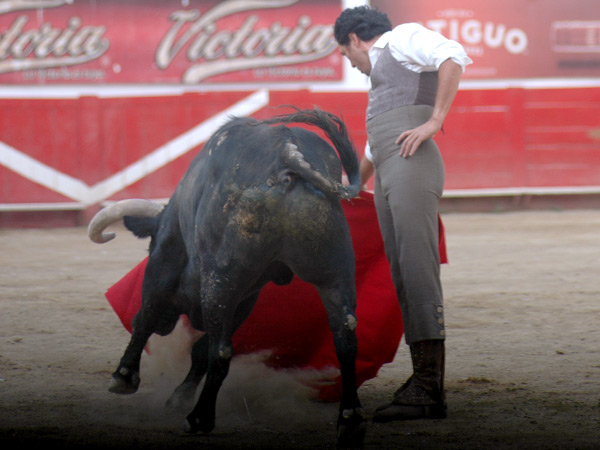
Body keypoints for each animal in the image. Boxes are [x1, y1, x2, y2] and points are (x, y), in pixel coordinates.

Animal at [85, 109, 366, 446]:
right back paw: (349, 420)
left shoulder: (165, 263)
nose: (168, 324)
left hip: (220, 279)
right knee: (345, 339)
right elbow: (198, 350)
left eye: (150, 244)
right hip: (335, 274)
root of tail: (286, 152)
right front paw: (177, 397)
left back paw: (200, 418)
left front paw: (124, 378)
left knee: (220, 350)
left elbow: (146, 318)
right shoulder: (247, 298)